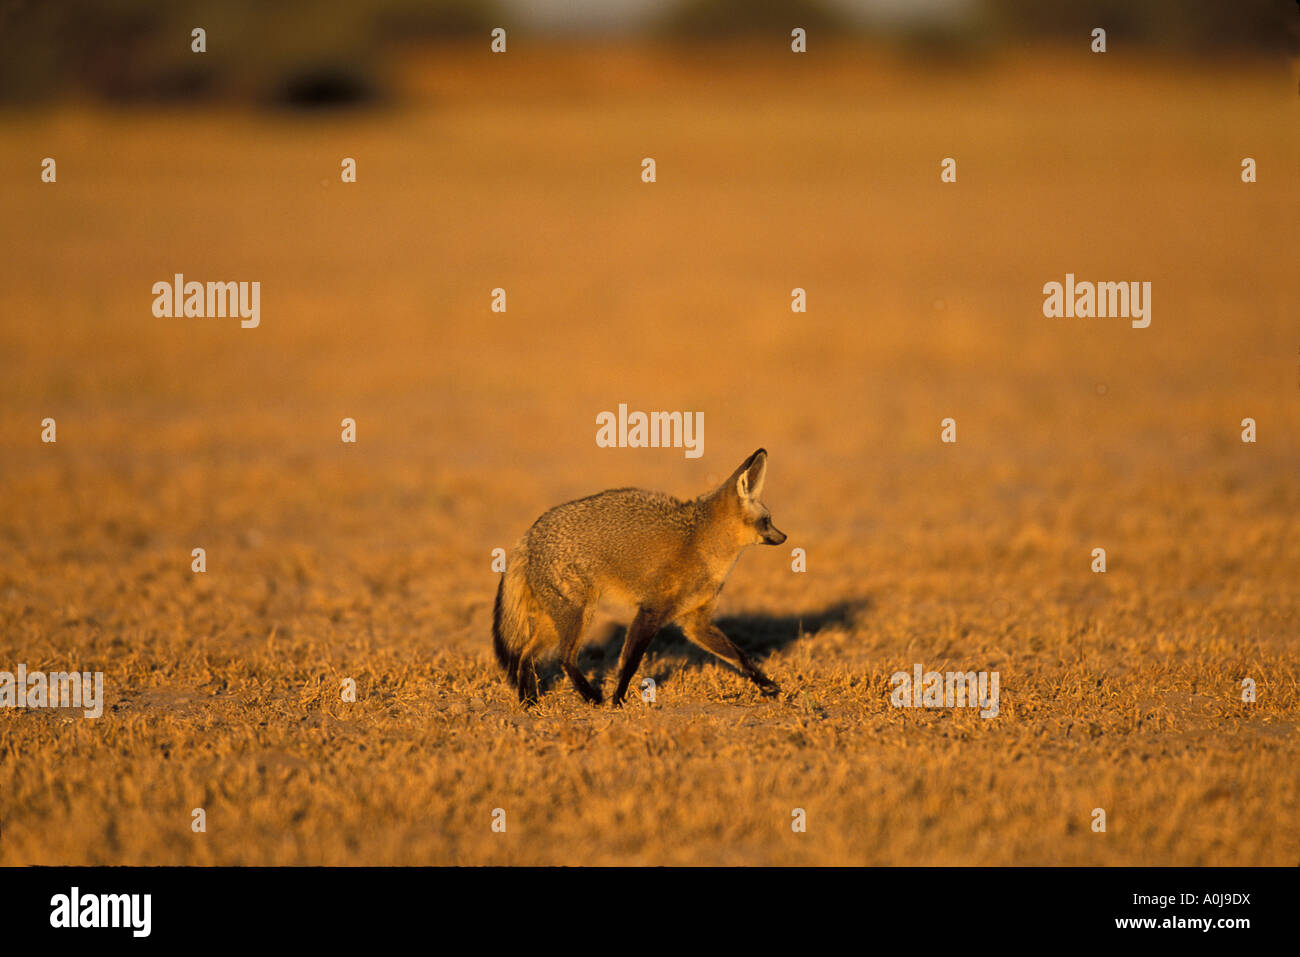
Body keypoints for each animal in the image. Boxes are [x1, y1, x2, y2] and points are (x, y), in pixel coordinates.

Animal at [491, 444, 785, 707]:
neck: (703, 543)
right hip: (578, 616)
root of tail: (529, 535)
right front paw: (618, 699)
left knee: (525, 656)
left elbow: (740, 656)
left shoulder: (695, 622)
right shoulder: (650, 611)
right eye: (767, 521)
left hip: (556, 622)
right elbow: (629, 663)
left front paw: (766, 684)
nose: (784, 537)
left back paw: (528, 701)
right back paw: (589, 696)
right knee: (563, 657)